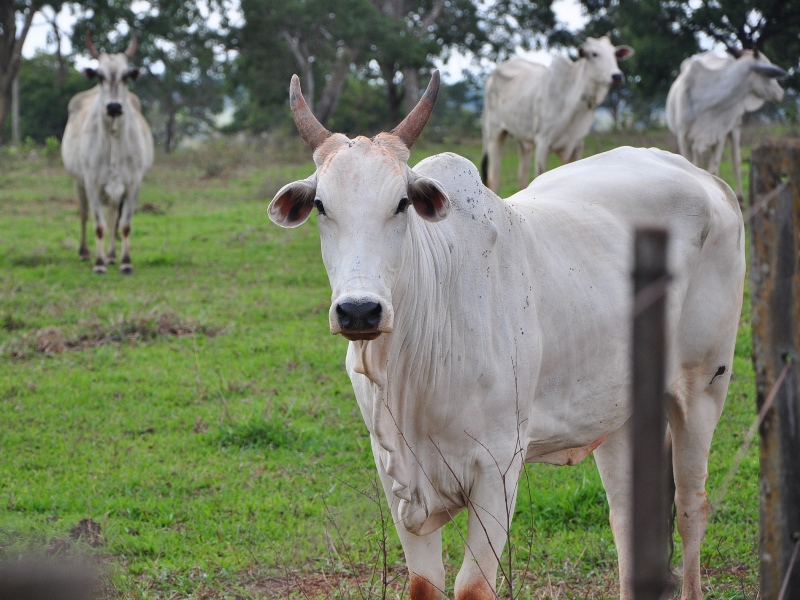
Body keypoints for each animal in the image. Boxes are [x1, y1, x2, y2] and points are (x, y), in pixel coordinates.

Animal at [61, 28, 154, 272]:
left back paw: (112, 255)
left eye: (126, 76)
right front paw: (99, 263)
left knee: (113, 216)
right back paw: (85, 252)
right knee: (84, 214)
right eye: (100, 76)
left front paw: (125, 262)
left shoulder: (133, 184)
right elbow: (98, 225)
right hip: (78, 181)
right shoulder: (92, 183)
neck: (113, 137)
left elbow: (124, 225)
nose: (113, 107)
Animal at [268, 71, 744, 600]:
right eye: (321, 206)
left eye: (402, 203)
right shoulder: (394, 473)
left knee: (691, 508)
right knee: (627, 518)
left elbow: (474, 586)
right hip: (618, 407)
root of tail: (706, 178)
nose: (358, 311)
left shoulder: (497, 468)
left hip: (703, 386)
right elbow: (424, 585)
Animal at [478, 36, 636, 191]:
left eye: (614, 54)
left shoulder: (577, 144)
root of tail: (492, 74)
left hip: (522, 139)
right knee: (494, 177)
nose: (617, 76)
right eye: (594, 54)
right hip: (494, 133)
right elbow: (540, 174)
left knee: (522, 176)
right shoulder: (543, 142)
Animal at [664, 48, 788, 202]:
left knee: (736, 161)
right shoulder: (684, 136)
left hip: (734, 128)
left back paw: (740, 197)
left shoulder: (719, 134)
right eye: (769, 74)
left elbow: (713, 169)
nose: (781, 93)